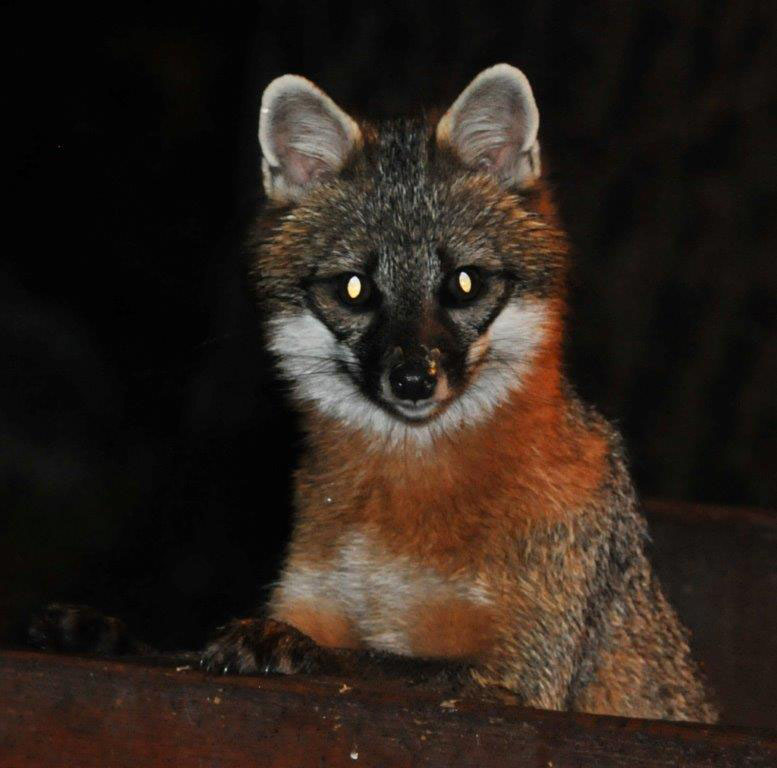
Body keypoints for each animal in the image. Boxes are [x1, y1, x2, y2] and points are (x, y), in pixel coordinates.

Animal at [30, 64, 717, 723]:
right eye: (355, 289)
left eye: (463, 283)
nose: (413, 380)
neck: (403, 498)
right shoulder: (313, 595)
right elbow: (187, 649)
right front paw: (114, 637)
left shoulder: (520, 674)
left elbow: (378, 662)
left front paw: (287, 648)